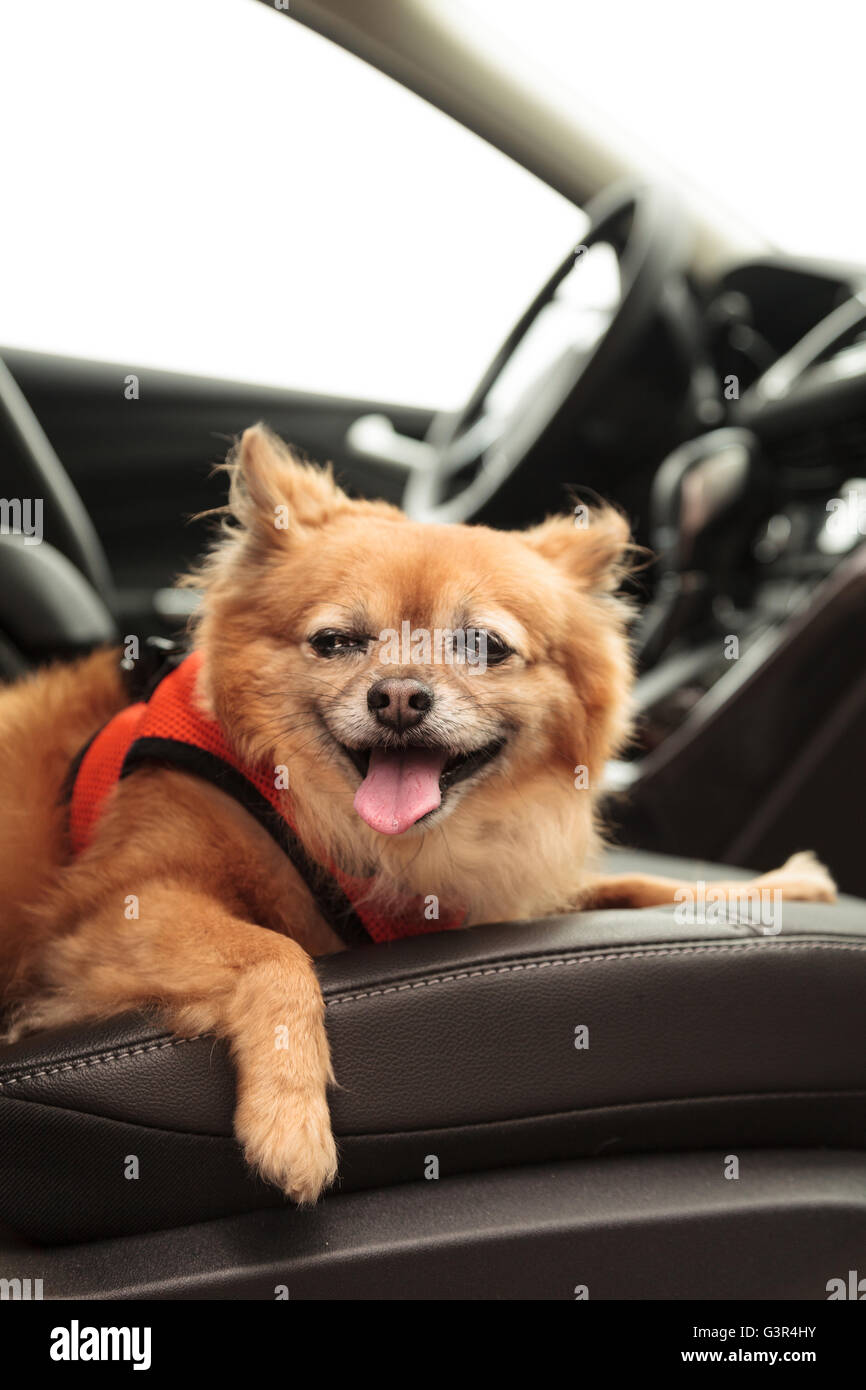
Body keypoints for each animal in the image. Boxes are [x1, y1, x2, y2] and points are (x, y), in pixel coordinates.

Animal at [0, 428, 839, 1200]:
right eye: (336, 642)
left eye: (483, 646)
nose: (399, 695)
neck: (371, 839)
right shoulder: (109, 917)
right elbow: (276, 953)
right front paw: (291, 1120)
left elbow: (641, 885)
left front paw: (778, 886)